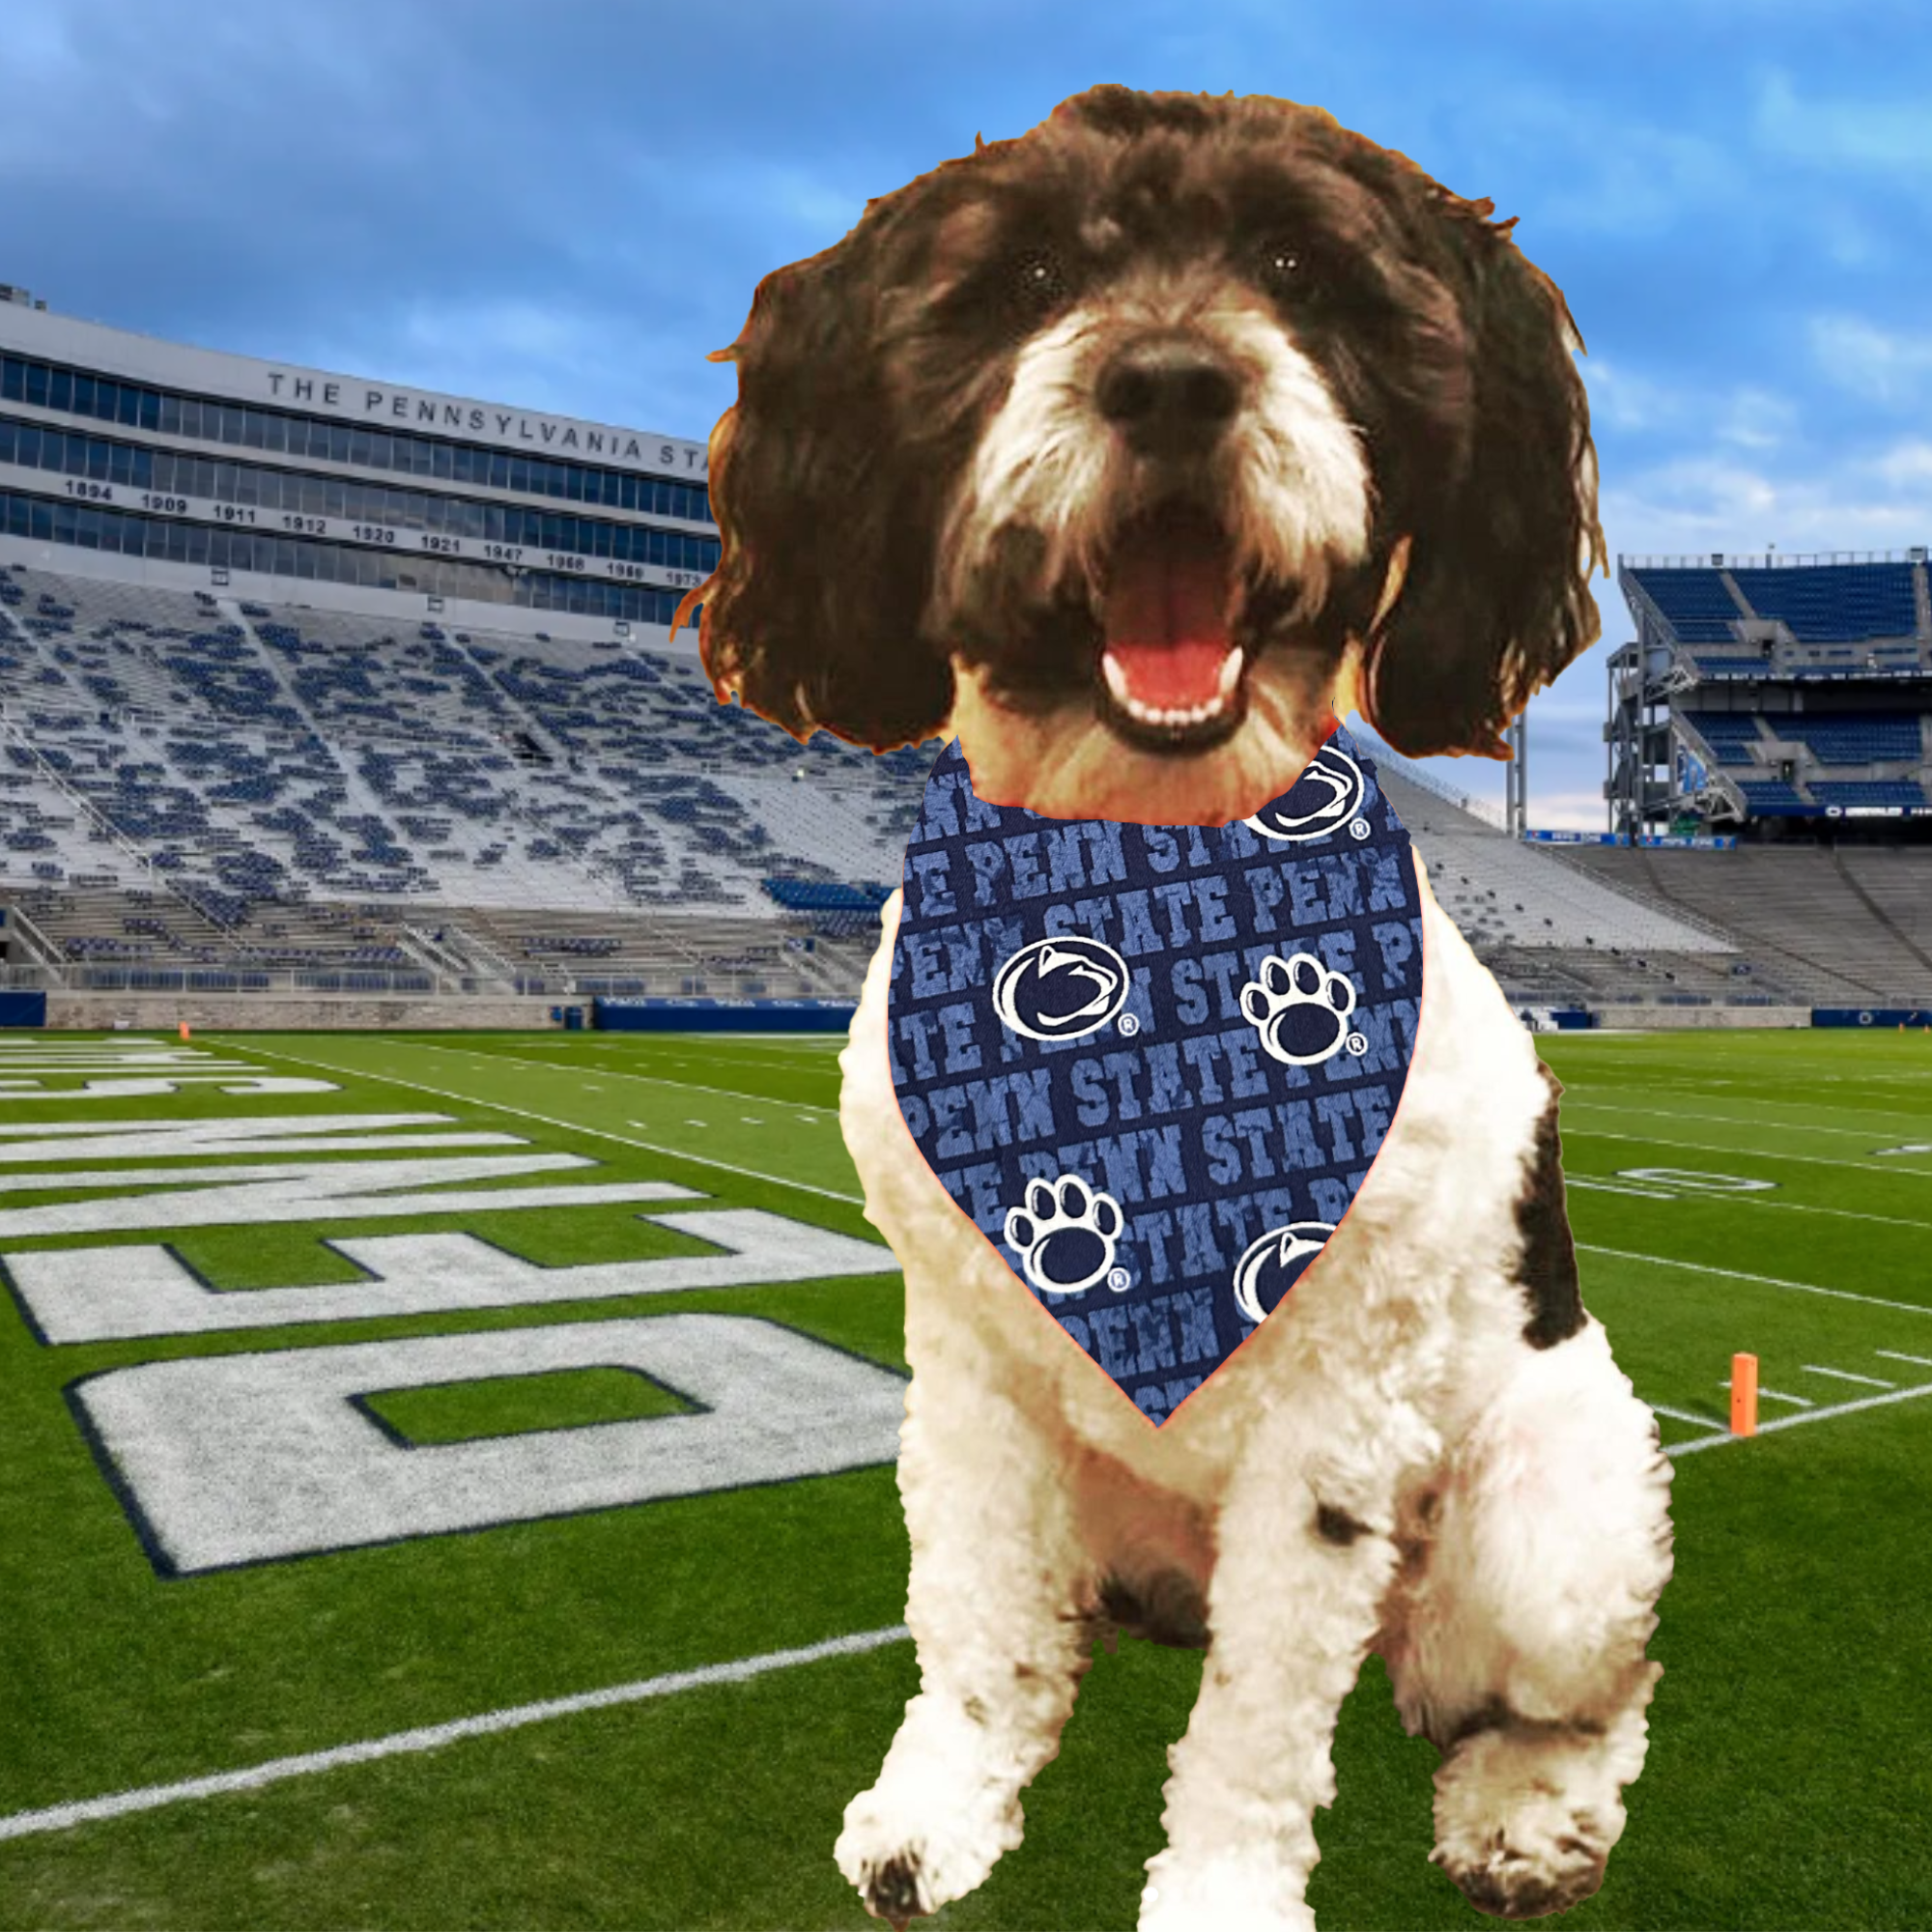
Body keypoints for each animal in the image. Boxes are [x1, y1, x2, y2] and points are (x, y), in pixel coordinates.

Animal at [688, 83, 1669, 1924]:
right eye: (1017, 283)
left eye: (1302, 271)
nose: (1167, 382)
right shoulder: (970, 1360)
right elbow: (977, 1612)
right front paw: (945, 1801)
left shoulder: (1333, 1412)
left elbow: (1263, 1720)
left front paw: (1218, 1890)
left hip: (1550, 1515)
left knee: (1574, 1690)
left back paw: (1529, 1814)